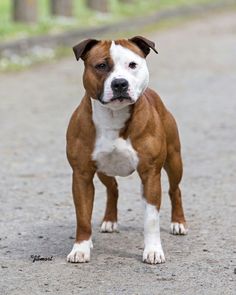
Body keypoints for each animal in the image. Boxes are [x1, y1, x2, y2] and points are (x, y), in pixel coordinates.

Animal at [65, 35, 187, 264]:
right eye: (101, 66)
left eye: (132, 64)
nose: (120, 83)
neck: (114, 116)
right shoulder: (82, 175)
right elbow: (83, 216)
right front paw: (81, 248)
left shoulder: (150, 174)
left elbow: (151, 218)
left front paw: (153, 250)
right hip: (103, 171)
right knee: (113, 188)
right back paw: (109, 221)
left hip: (174, 161)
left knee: (175, 190)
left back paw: (178, 223)